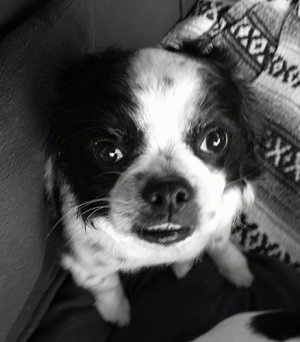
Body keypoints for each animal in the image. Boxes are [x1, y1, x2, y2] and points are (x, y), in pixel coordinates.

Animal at [45, 43, 262, 326]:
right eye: (107, 152)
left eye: (215, 140)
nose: (169, 192)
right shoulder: (83, 263)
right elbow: (106, 284)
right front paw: (117, 314)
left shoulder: (218, 224)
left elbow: (220, 243)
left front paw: (236, 268)